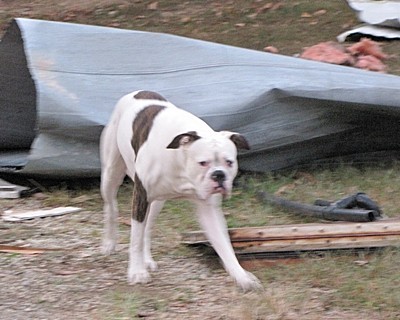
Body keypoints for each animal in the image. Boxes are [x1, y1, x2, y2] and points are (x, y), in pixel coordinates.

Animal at [101, 90, 260, 292]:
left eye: (229, 162)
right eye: (203, 162)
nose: (218, 175)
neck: (181, 162)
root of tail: (138, 92)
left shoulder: (209, 210)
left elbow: (225, 246)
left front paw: (241, 276)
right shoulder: (140, 196)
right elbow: (135, 240)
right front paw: (137, 272)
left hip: (156, 203)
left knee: (147, 228)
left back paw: (147, 259)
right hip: (111, 174)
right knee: (111, 206)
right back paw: (109, 242)